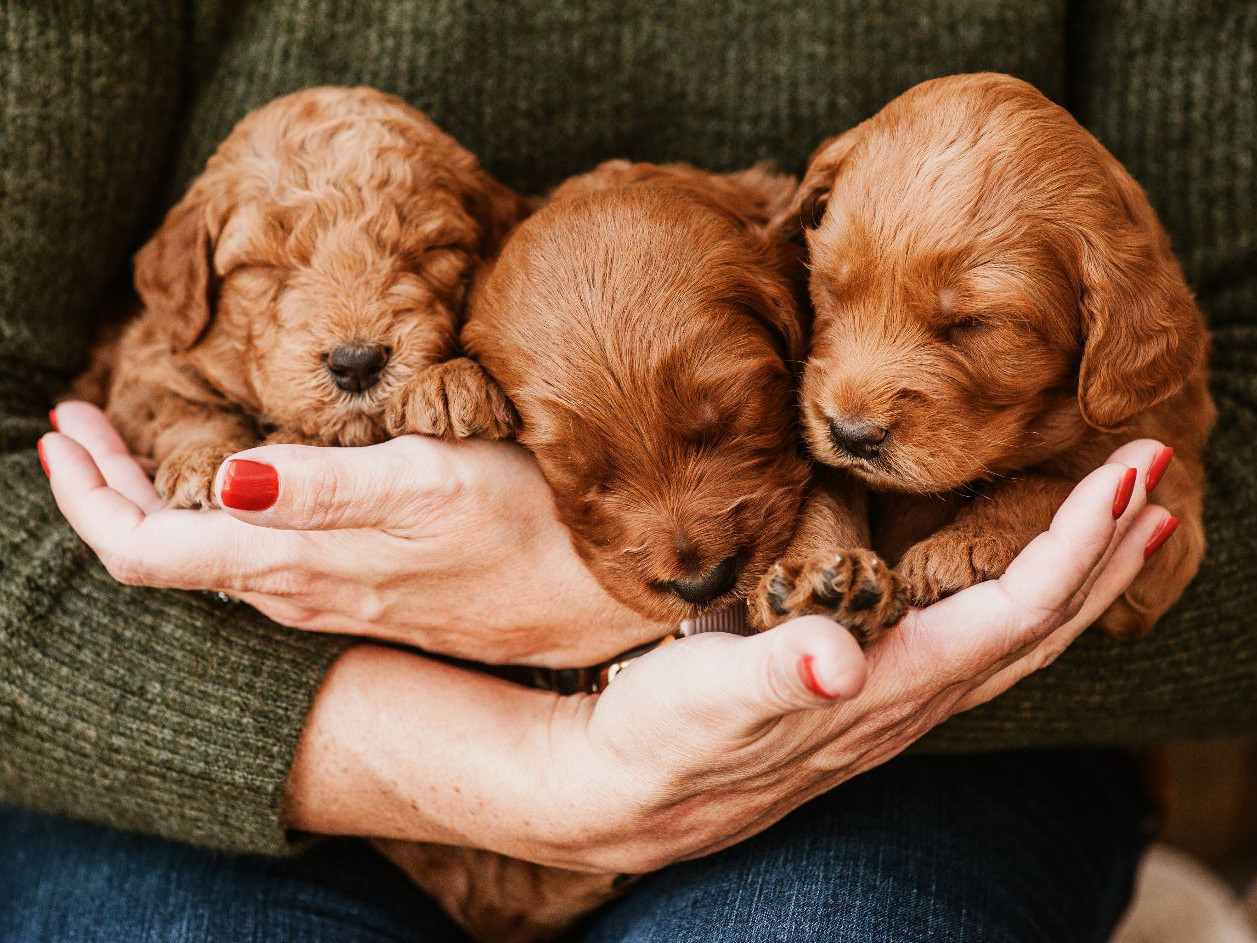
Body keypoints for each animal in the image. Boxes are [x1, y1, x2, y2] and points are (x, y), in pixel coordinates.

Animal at [82, 84, 525, 505]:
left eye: (435, 250)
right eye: (261, 266)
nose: (357, 364)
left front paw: (451, 383)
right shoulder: (146, 367)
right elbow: (180, 409)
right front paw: (203, 457)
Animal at [769, 70, 1211, 638]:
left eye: (971, 324)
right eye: (828, 286)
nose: (851, 435)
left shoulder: (1168, 513)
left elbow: (1043, 484)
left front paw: (963, 547)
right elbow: (827, 493)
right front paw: (820, 571)